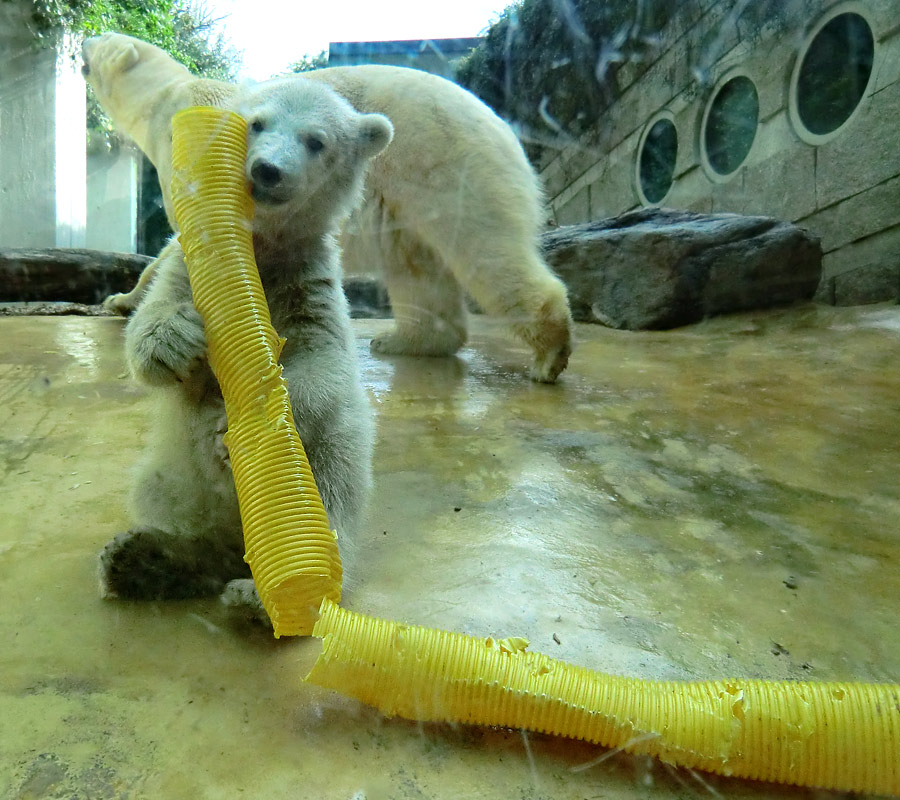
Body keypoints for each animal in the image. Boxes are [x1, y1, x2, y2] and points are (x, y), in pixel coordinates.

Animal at [86, 32, 576, 382]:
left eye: (101, 37)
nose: (83, 45)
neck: (166, 101)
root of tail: (500, 122)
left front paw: (123, 300)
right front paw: (124, 301)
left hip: (445, 168)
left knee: (486, 251)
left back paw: (548, 354)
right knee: (417, 269)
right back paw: (403, 341)